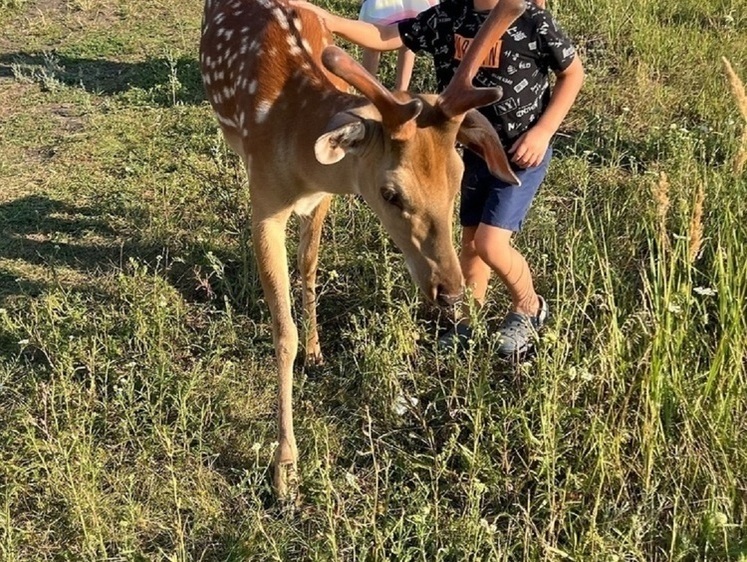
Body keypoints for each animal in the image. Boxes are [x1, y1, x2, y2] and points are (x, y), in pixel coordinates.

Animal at [199, 0, 524, 492]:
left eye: (459, 177)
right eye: (391, 193)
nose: (450, 292)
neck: (296, 143)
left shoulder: (322, 197)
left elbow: (309, 264)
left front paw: (317, 352)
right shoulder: (265, 206)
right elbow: (283, 333)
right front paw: (285, 468)